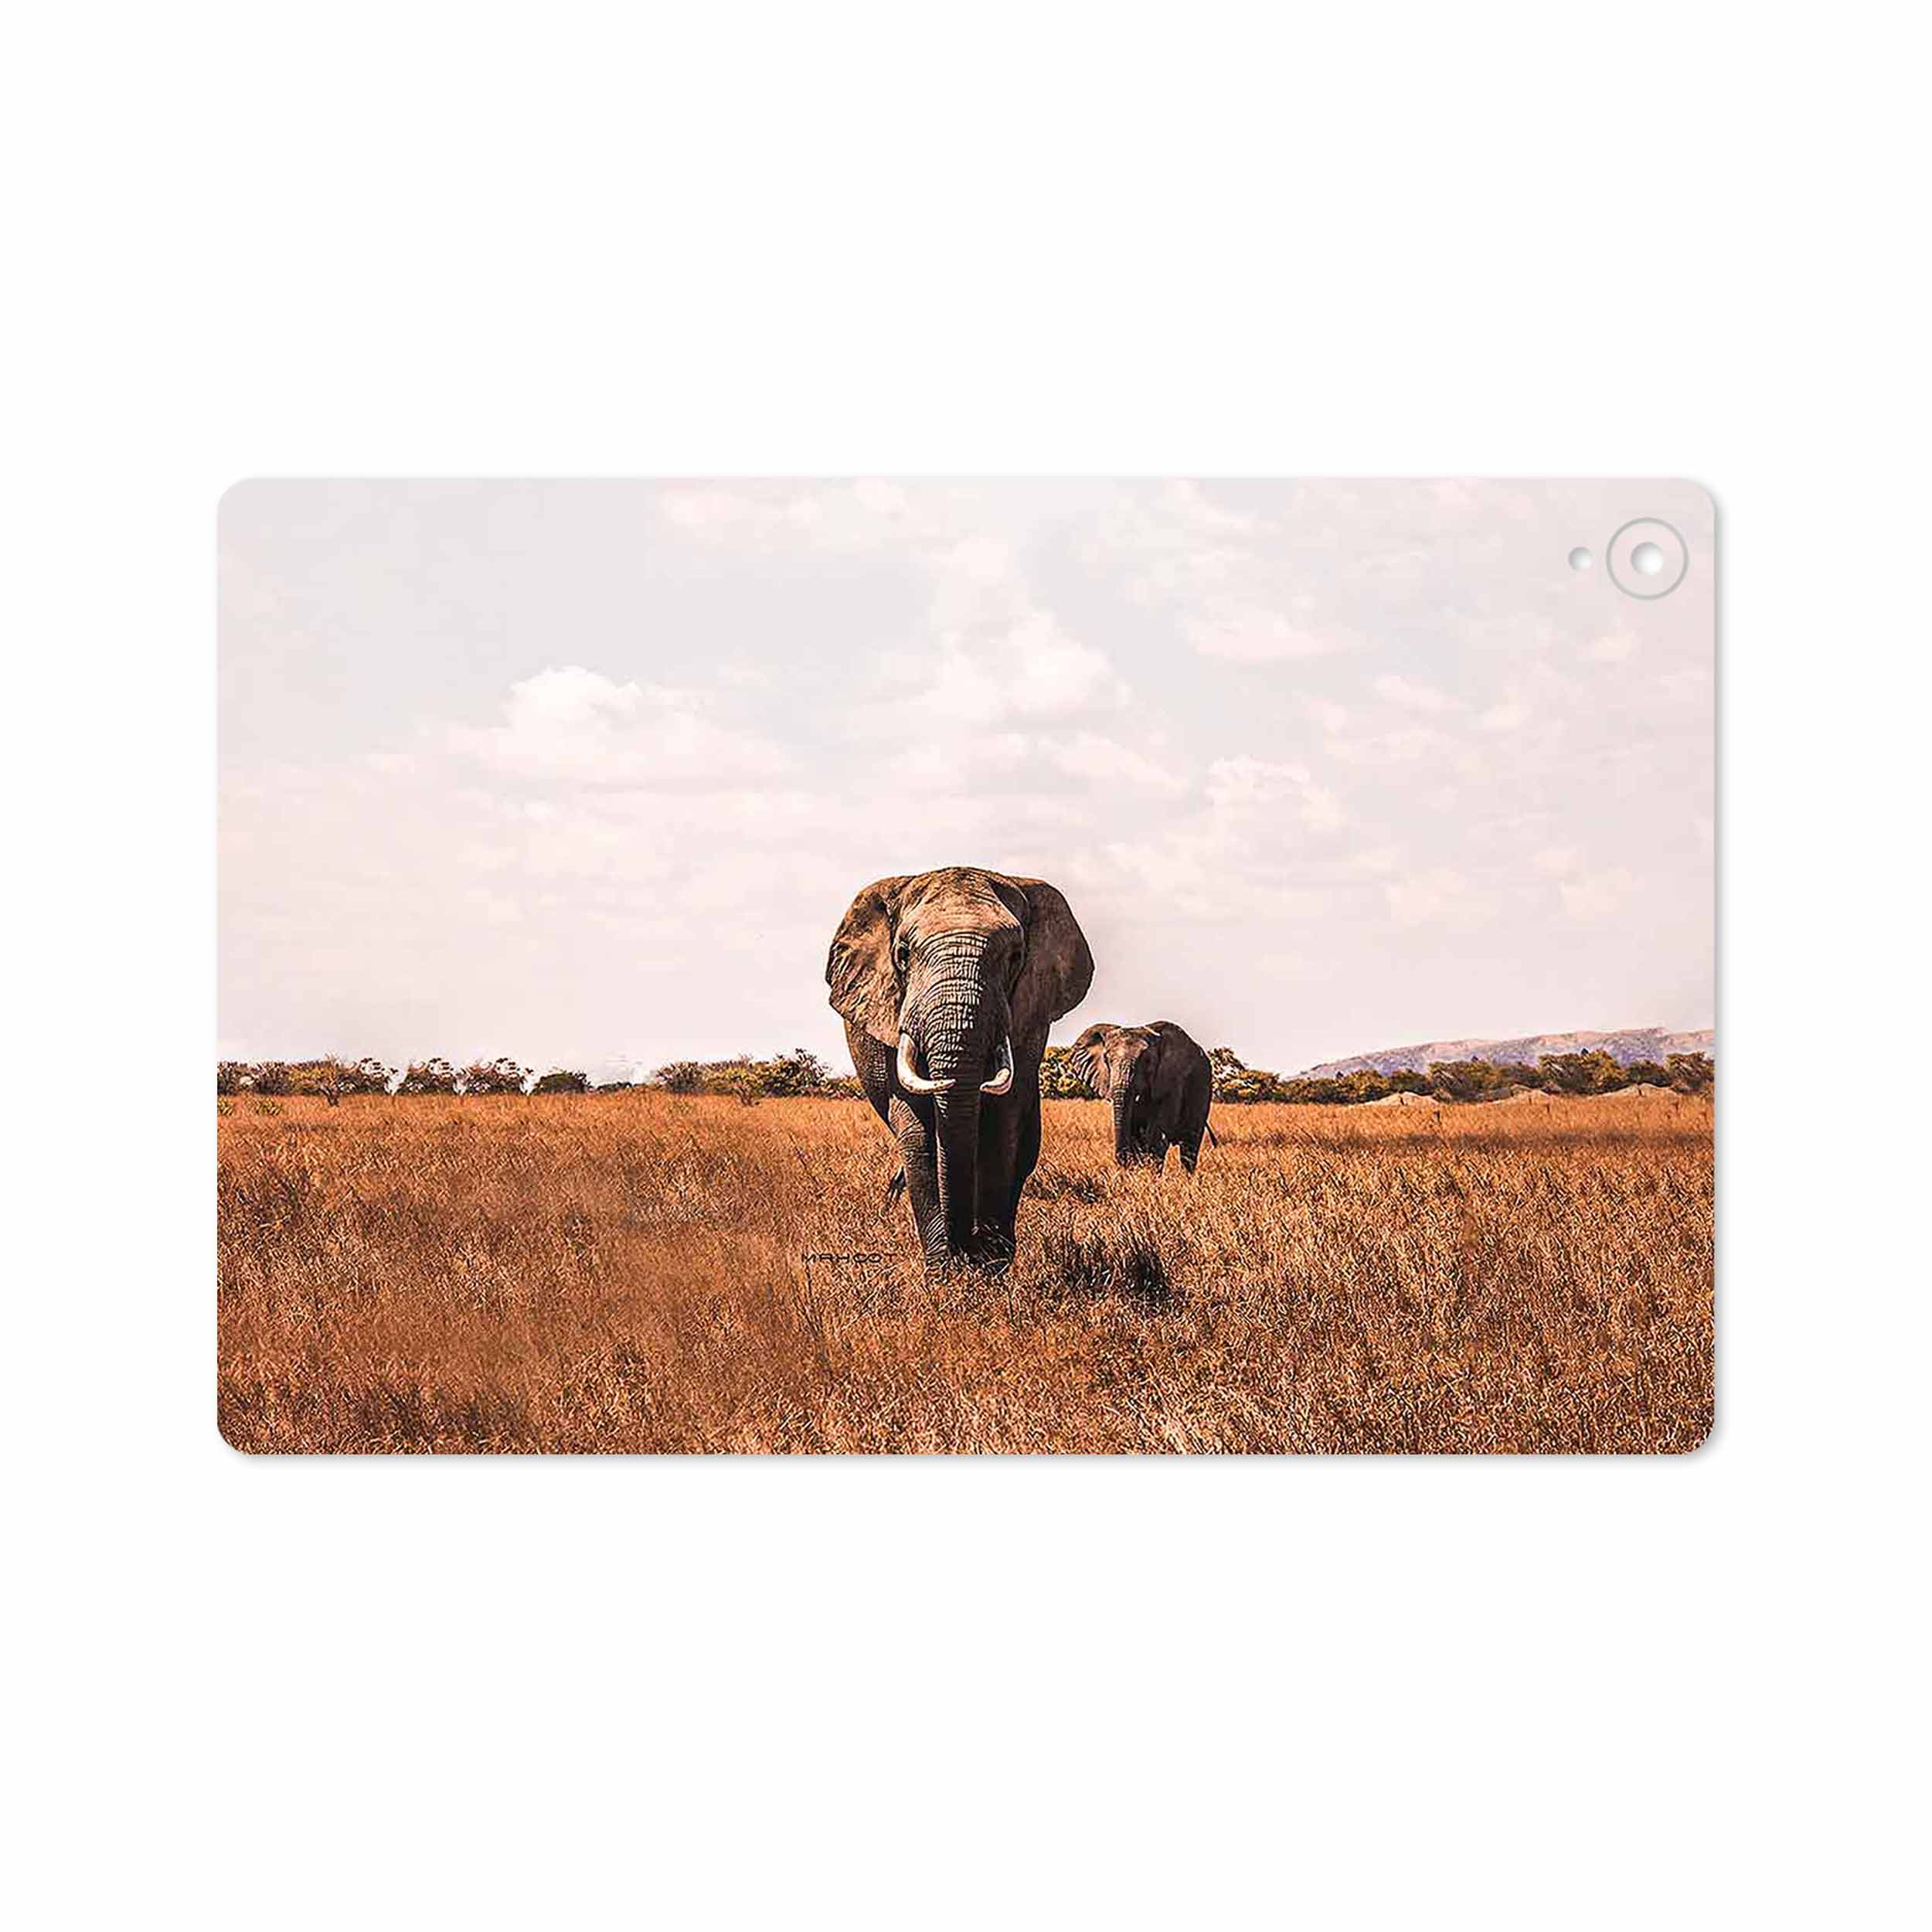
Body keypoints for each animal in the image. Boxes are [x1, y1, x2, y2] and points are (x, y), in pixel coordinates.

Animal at [827, 866, 1093, 1270]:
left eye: (1015, 956)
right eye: (903, 955)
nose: (965, 1249)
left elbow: (1002, 1124)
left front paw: (989, 1268)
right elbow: (918, 1132)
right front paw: (944, 1273)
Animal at [1071, 1020, 1216, 1172]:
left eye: (1147, 1061)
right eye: (1106, 1060)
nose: (1122, 1162)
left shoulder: (1173, 1080)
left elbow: (1157, 1135)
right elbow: (1135, 1133)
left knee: (1189, 1145)